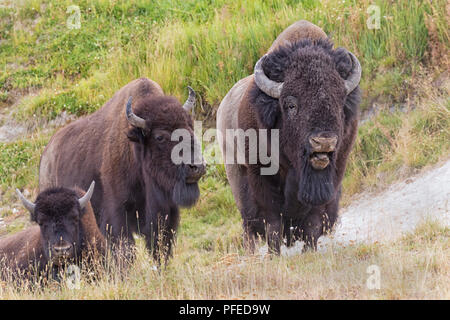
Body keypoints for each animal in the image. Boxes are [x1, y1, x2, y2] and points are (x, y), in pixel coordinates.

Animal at [39, 79, 207, 262]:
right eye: (159, 137)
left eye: (190, 128)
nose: (197, 167)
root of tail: (46, 155)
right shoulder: (117, 217)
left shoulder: (165, 216)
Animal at [218, 21, 362, 254]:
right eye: (291, 104)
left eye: (340, 102)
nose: (323, 142)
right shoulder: (261, 178)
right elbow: (273, 222)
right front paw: (274, 255)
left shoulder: (334, 175)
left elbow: (314, 221)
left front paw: (309, 251)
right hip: (236, 175)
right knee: (248, 226)